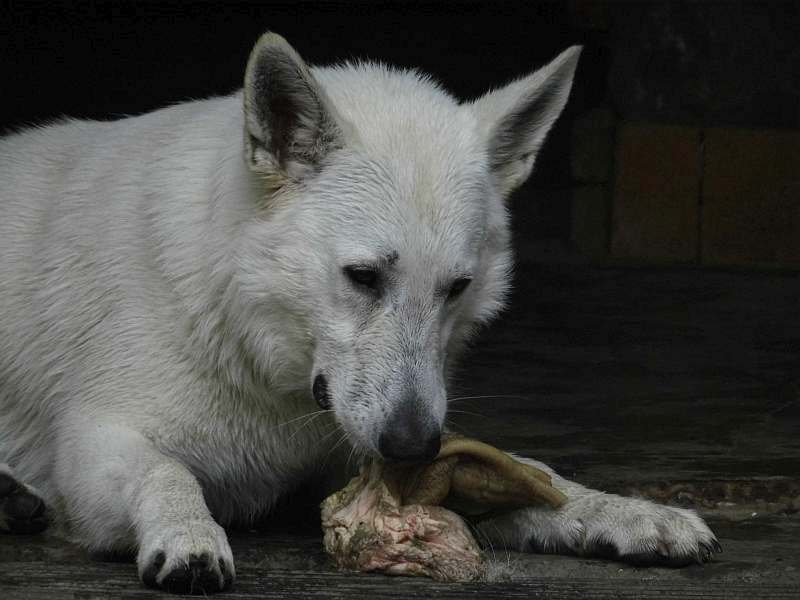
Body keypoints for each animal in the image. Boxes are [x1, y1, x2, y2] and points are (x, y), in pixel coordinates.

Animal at [0, 34, 720, 596]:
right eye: (363, 277)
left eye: (457, 287)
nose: (413, 444)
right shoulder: (96, 446)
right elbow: (167, 472)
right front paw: (189, 534)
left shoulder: (373, 456)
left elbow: (535, 476)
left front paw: (622, 513)